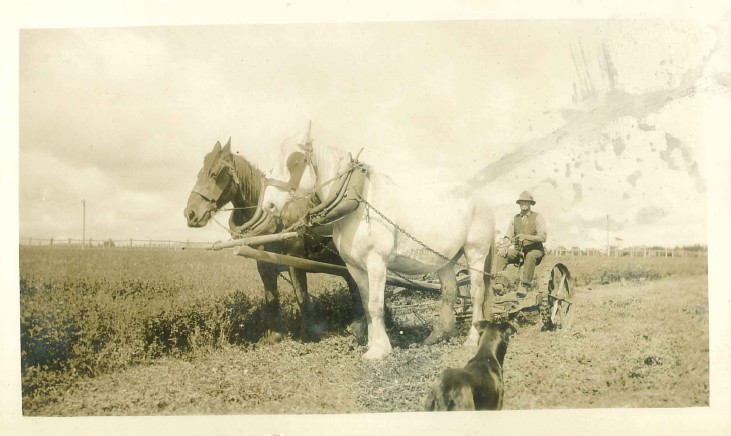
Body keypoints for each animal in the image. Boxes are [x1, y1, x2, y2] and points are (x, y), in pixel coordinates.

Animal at [186, 139, 364, 340]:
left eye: (214, 173)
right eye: (199, 173)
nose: (190, 213)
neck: (275, 221)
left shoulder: (295, 260)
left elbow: (301, 296)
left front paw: (309, 334)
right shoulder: (264, 264)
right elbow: (271, 298)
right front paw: (275, 335)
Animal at [258, 135, 498, 360]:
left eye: (295, 162)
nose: (269, 205)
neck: (358, 200)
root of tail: (482, 199)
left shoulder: (376, 263)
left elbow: (375, 304)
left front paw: (379, 349)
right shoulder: (355, 268)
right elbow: (365, 304)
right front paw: (372, 343)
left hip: (475, 253)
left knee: (477, 294)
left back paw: (472, 340)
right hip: (445, 260)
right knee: (449, 292)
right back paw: (437, 336)